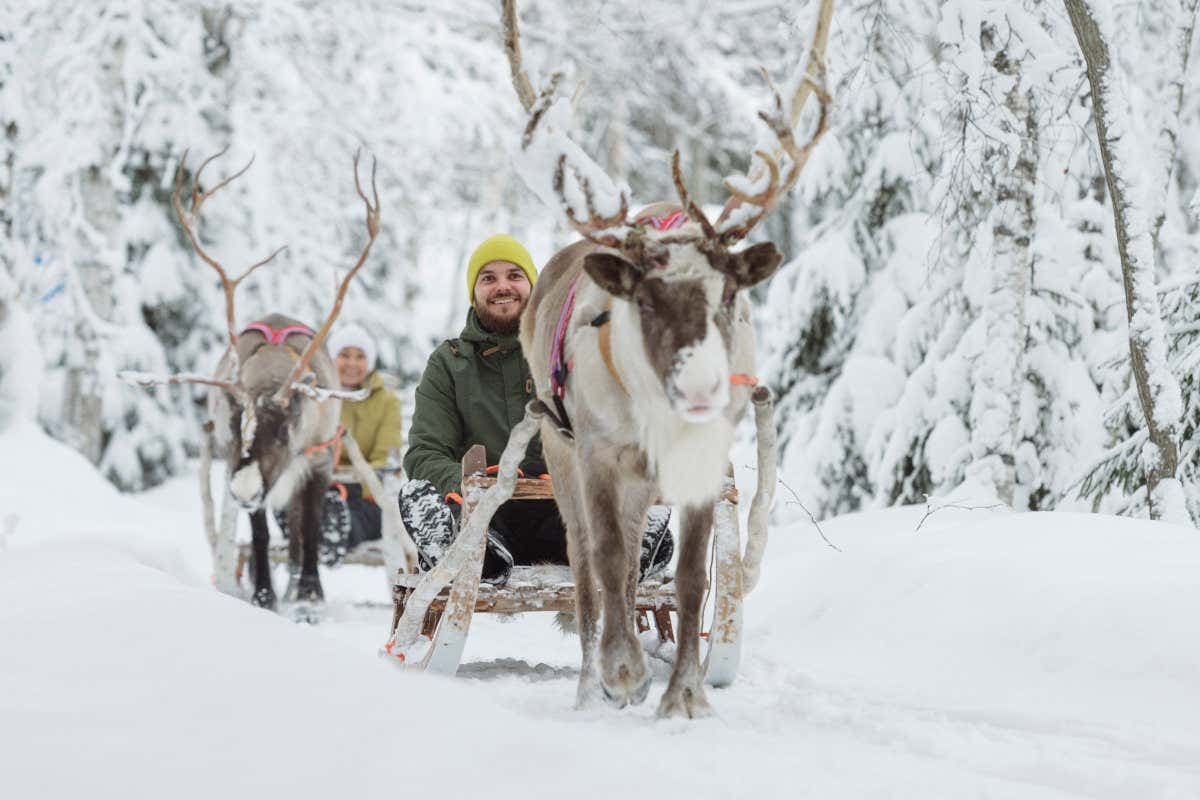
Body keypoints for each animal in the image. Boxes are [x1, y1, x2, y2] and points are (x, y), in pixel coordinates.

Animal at [124, 149, 418, 610]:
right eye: (231, 427)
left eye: (282, 433)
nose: (242, 491)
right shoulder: (247, 475)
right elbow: (261, 534)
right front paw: (264, 594)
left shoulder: (319, 462)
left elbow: (310, 528)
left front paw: (310, 594)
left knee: (300, 533)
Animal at [504, 0, 832, 716]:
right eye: (644, 301)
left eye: (730, 294)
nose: (703, 388)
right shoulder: (598, 454)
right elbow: (606, 562)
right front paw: (625, 673)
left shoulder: (705, 464)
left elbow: (688, 580)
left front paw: (684, 696)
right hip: (559, 451)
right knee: (589, 571)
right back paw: (590, 685)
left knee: (633, 566)